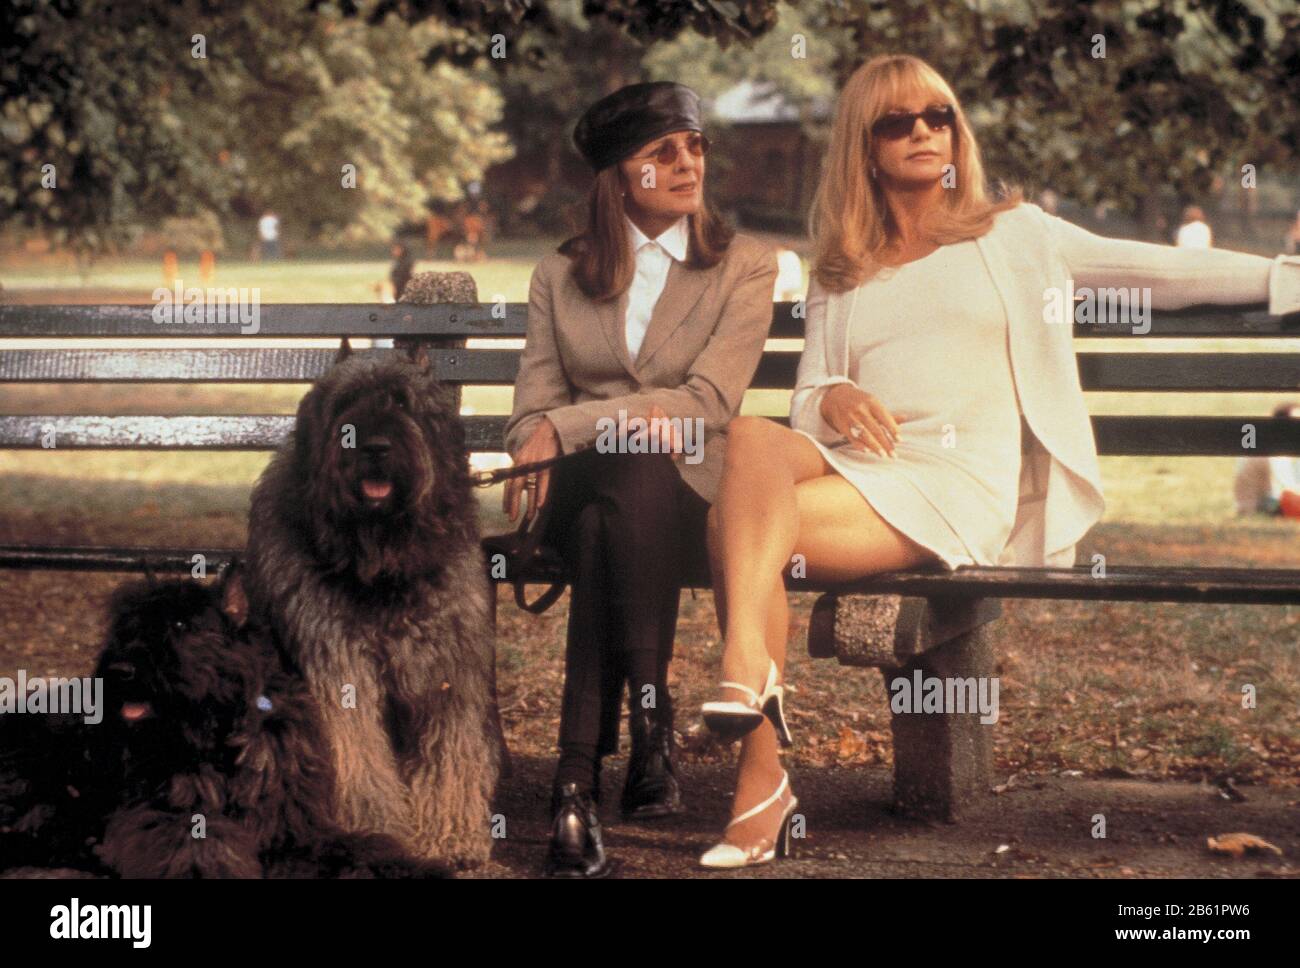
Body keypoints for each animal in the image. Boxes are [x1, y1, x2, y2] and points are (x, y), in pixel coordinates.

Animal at [1, 563, 447, 878]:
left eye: (181, 625)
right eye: (127, 624)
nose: (121, 670)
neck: (222, 733)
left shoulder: (295, 831)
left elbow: (357, 849)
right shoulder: (168, 816)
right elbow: (199, 848)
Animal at [244, 343, 501, 867]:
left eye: (402, 402)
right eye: (346, 403)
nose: (375, 448)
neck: (380, 567)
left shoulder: (445, 672)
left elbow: (452, 756)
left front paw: (451, 834)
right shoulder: (338, 668)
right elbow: (356, 756)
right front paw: (374, 831)